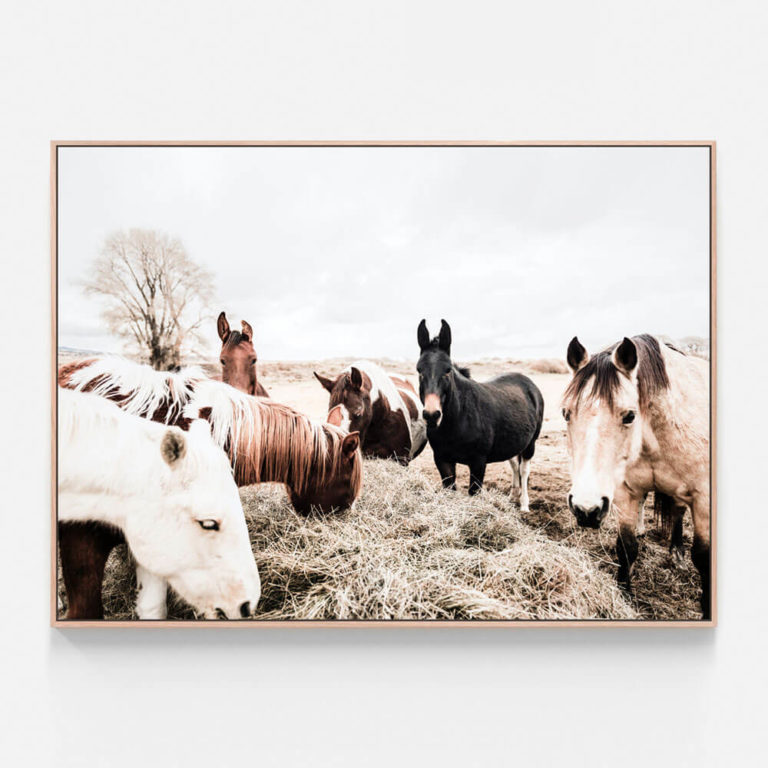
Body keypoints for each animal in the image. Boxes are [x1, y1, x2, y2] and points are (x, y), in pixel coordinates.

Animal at [414, 318, 544, 504]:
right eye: (419, 371)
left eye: (447, 370)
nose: (432, 415)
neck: (458, 420)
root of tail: (530, 384)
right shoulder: (442, 460)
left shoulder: (478, 462)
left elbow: (474, 491)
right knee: (514, 466)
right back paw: (512, 497)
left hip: (531, 443)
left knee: (524, 470)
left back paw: (524, 504)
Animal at [560, 334, 712, 616]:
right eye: (566, 414)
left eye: (630, 415)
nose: (586, 510)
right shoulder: (625, 492)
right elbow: (626, 547)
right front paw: (625, 595)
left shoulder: (704, 499)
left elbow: (703, 558)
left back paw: (677, 554)